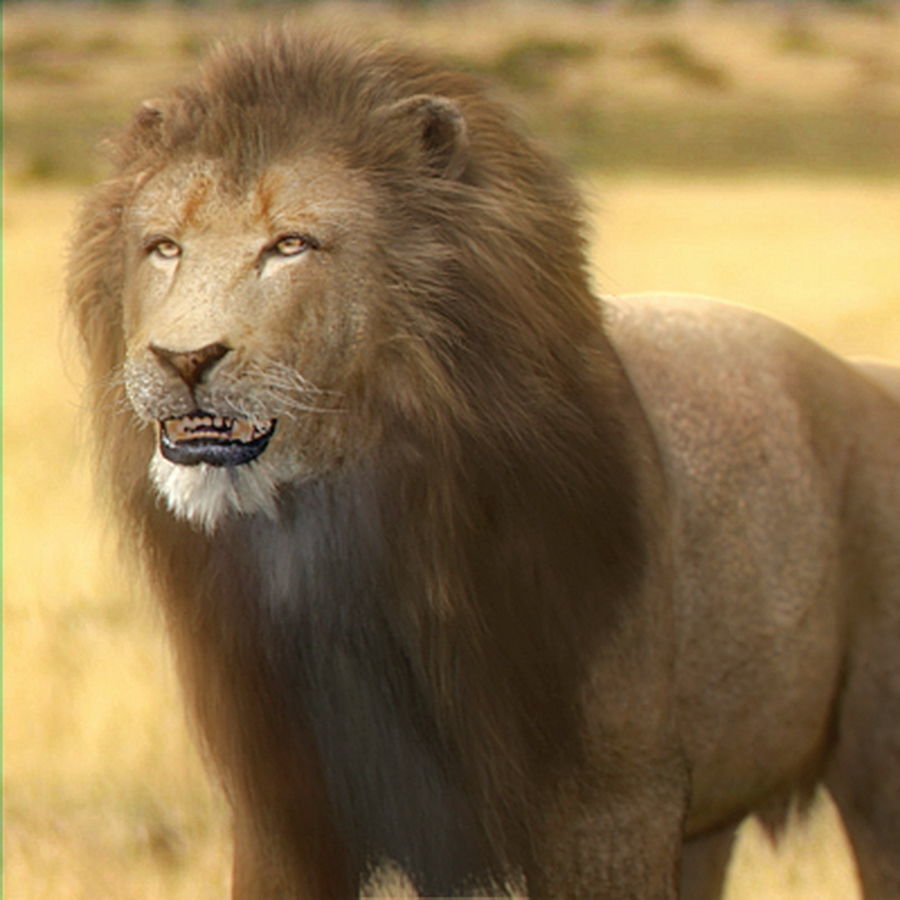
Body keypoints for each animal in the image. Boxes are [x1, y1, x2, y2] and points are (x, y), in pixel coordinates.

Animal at [68, 30, 900, 899]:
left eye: (290, 245)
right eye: (165, 249)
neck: (339, 536)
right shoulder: (286, 810)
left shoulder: (614, 805)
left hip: (876, 769)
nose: (182, 358)